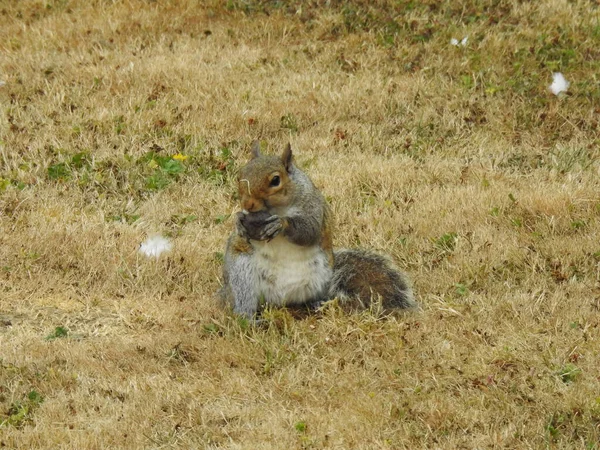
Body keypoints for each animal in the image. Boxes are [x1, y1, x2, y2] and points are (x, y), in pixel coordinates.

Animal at [218, 142, 414, 318]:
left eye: (275, 180)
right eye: (240, 175)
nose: (247, 204)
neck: (278, 208)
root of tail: (280, 300)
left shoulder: (314, 208)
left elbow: (308, 231)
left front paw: (280, 224)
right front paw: (238, 220)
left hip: (322, 277)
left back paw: (319, 303)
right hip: (241, 272)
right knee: (244, 299)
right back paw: (247, 317)